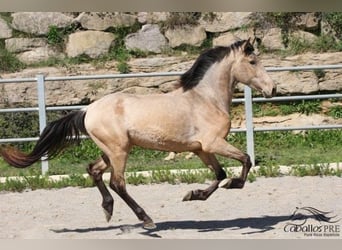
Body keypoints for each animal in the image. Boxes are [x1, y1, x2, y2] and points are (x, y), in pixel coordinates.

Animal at [0, 38, 276, 229]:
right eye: (253, 62)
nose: (272, 89)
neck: (206, 99)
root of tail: (87, 109)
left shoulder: (200, 149)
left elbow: (219, 175)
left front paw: (192, 195)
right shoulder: (213, 143)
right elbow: (245, 160)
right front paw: (233, 184)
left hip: (112, 150)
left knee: (94, 170)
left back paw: (108, 210)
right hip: (119, 151)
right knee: (117, 182)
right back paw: (147, 219)